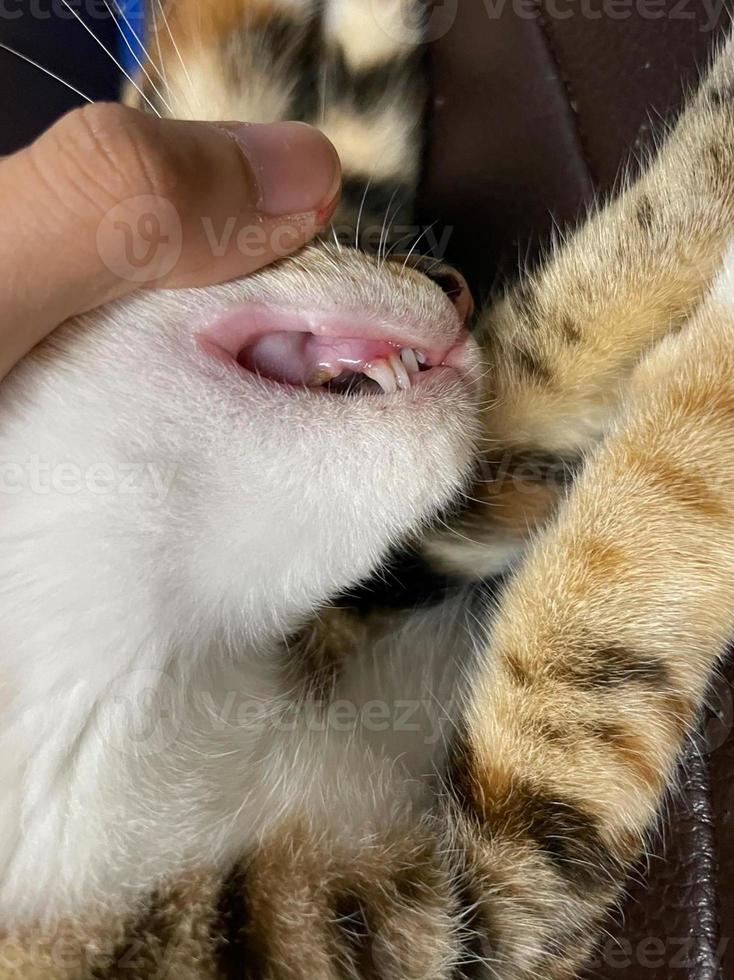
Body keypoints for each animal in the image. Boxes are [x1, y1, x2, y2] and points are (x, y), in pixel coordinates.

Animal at [4, 3, 734, 976]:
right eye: (315, 240)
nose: (454, 288)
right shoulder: (437, 923)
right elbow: (616, 583)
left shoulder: (385, 583)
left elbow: (528, 389)